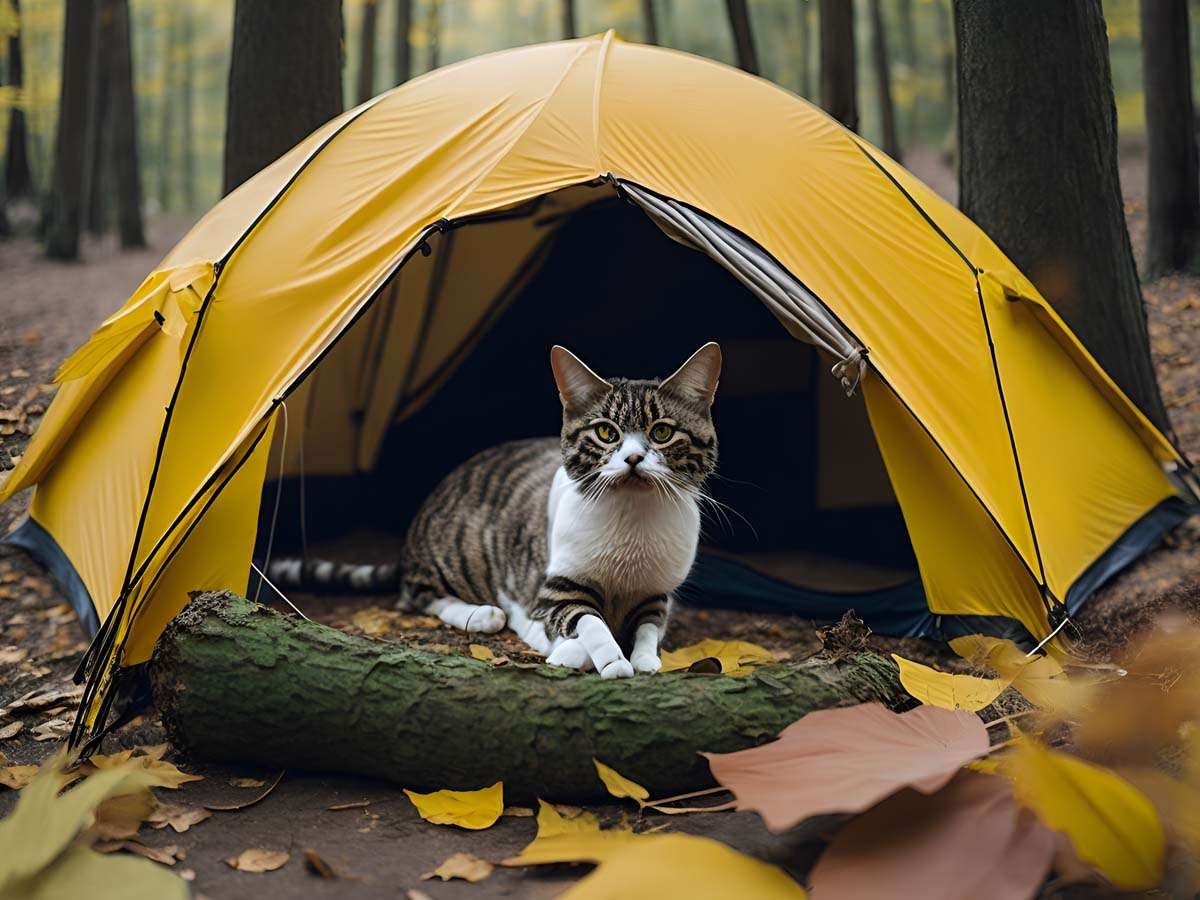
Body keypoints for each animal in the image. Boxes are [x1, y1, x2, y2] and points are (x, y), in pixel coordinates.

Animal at [270, 343, 720, 676]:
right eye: (606, 433)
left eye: (662, 433)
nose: (633, 459)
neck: (632, 521)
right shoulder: (549, 593)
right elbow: (586, 624)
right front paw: (598, 657)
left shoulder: (658, 594)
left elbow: (649, 628)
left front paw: (643, 658)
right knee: (417, 596)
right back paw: (482, 614)